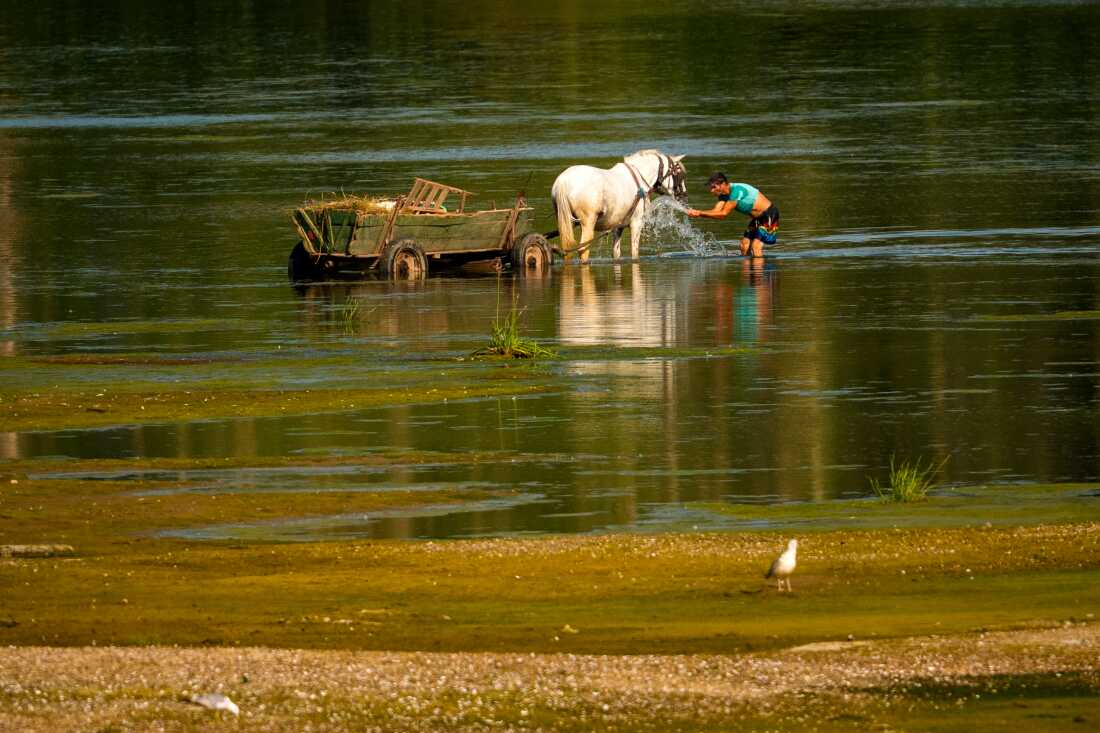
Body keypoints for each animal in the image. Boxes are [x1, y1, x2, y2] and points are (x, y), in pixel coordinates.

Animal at [551, 149, 687, 262]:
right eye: (678, 171)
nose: (683, 195)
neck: (640, 178)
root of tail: (563, 181)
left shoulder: (617, 227)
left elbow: (616, 253)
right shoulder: (636, 223)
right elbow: (634, 253)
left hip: (566, 222)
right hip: (587, 223)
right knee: (583, 250)